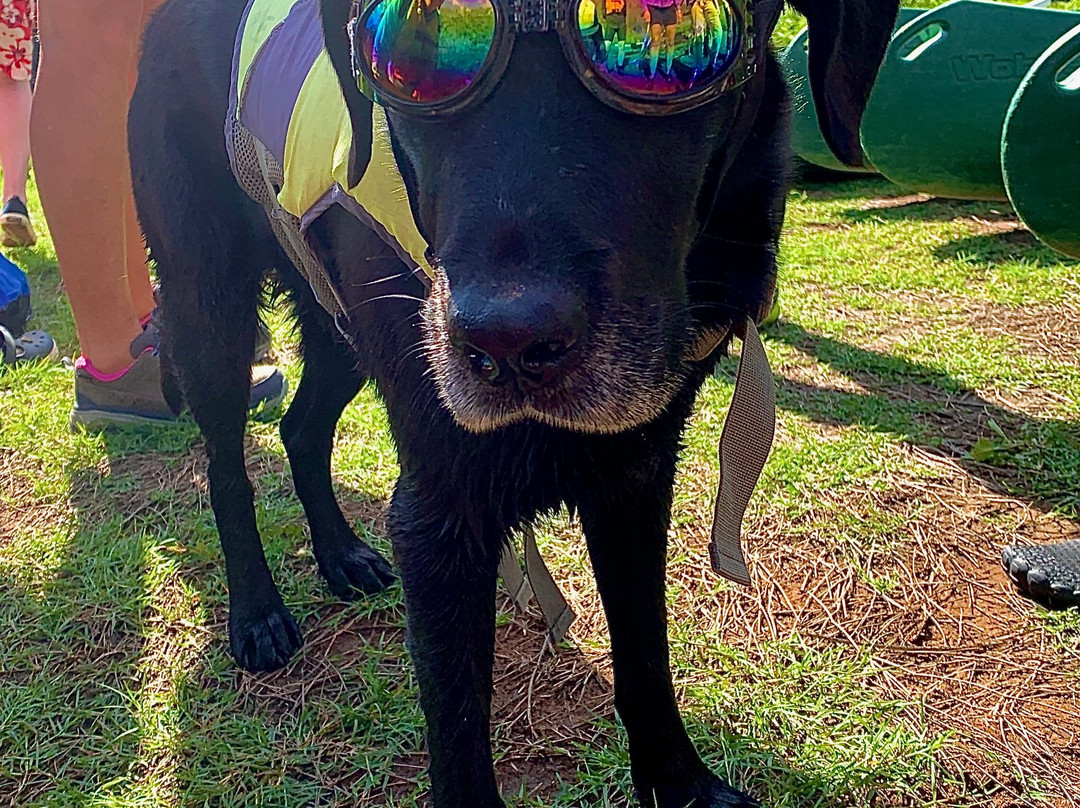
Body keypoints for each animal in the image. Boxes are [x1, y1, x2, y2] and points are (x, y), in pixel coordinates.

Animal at [128, 3, 894, 803]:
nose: (507, 341)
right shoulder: (441, 510)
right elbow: (460, 730)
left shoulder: (635, 473)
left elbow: (645, 654)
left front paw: (681, 784)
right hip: (210, 307)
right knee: (226, 468)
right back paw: (256, 612)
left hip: (342, 326)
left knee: (301, 429)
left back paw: (341, 554)